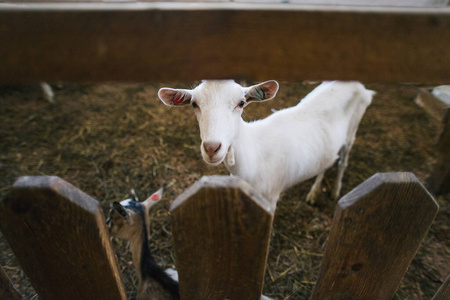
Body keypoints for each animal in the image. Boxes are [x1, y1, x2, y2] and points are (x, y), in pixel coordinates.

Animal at [156, 81, 374, 210]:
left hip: (353, 128)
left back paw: (336, 191)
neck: (253, 156)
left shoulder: (269, 197)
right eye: (194, 104)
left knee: (344, 160)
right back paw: (314, 193)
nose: (212, 148)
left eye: (241, 102)